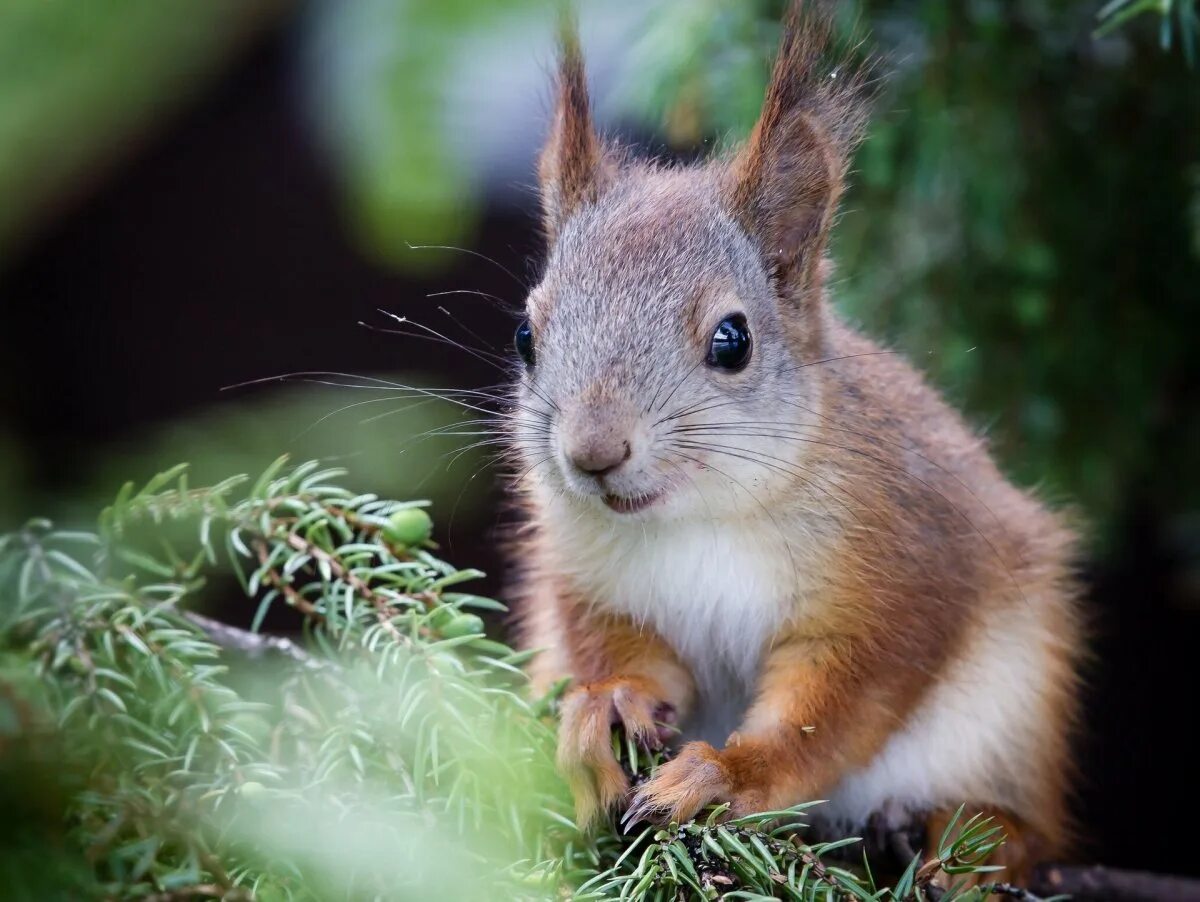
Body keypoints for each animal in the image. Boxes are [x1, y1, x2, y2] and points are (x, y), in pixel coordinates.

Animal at [504, 0, 1080, 882]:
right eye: (526, 337)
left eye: (732, 340)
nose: (593, 454)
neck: (699, 517)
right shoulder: (584, 574)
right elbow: (616, 651)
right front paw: (603, 711)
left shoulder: (899, 580)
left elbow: (832, 714)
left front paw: (724, 776)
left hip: (1014, 711)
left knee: (1035, 831)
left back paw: (972, 840)